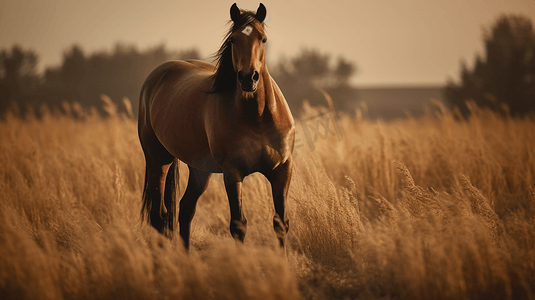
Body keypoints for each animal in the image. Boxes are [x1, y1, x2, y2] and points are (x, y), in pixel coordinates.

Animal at [138, 3, 296, 250]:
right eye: (232, 40)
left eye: (263, 39)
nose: (248, 78)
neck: (258, 117)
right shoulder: (233, 173)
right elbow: (238, 225)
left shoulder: (282, 169)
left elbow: (280, 222)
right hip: (158, 160)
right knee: (159, 216)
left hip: (200, 169)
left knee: (185, 210)